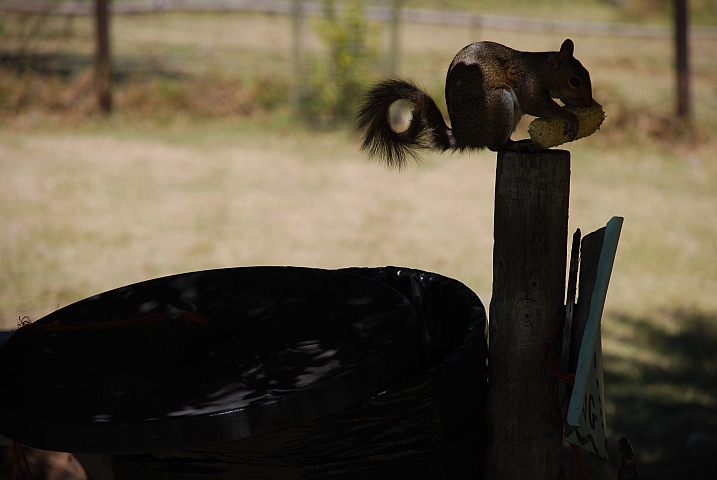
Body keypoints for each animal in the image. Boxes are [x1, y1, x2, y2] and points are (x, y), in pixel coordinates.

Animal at [356, 38, 592, 168]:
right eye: (575, 81)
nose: (590, 103)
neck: (541, 69)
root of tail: (465, 136)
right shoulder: (529, 83)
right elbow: (534, 103)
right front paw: (571, 117)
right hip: (498, 103)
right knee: (494, 145)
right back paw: (516, 145)